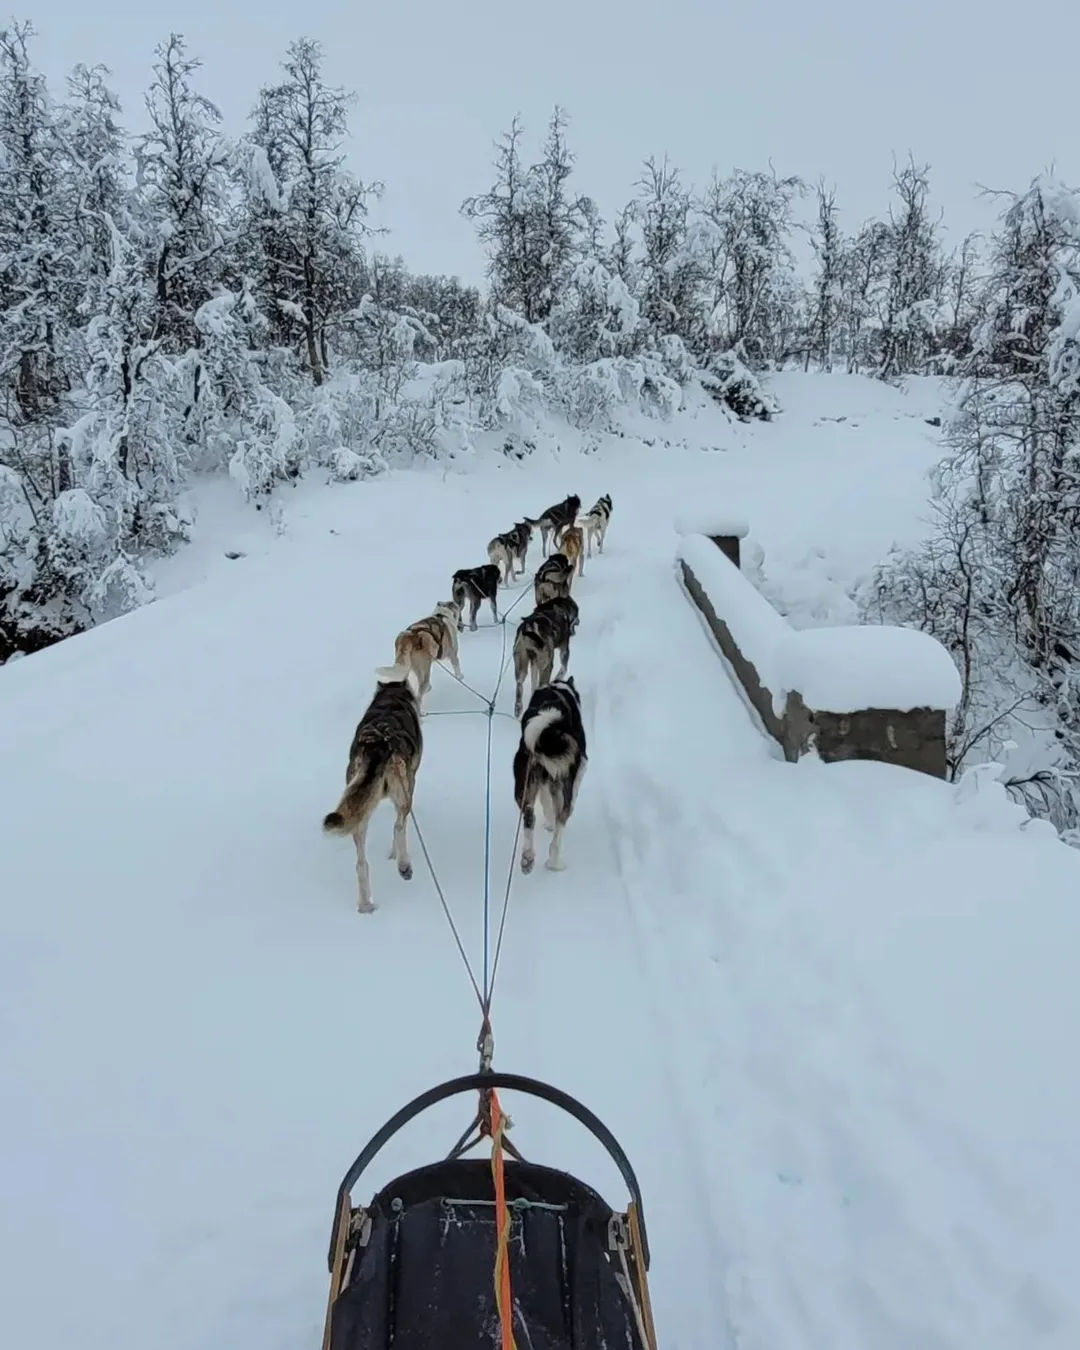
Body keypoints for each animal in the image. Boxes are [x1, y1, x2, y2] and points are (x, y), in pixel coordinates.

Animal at [321, 666, 421, 912]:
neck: (392, 699)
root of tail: (378, 744)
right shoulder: (409, 784)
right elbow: (400, 826)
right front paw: (395, 855)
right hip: (401, 795)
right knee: (398, 826)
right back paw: (404, 866)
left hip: (358, 812)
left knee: (361, 864)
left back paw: (365, 905)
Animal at [513, 675, 585, 874]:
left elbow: (545, 803)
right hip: (564, 785)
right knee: (560, 824)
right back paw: (555, 862)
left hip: (524, 785)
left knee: (529, 816)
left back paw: (527, 858)